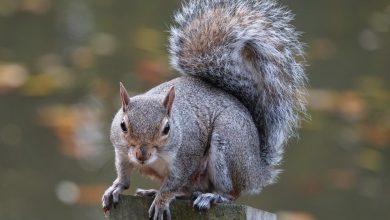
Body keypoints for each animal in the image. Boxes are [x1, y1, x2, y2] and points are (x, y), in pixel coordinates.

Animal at [101, 0, 308, 218]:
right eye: (123, 125)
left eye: (167, 129)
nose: (142, 155)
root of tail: (256, 171)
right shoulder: (121, 153)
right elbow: (123, 175)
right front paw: (116, 188)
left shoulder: (187, 157)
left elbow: (172, 184)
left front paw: (161, 201)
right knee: (187, 191)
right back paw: (153, 192)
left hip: (228, 144)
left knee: (232, 192)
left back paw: (213, 197)